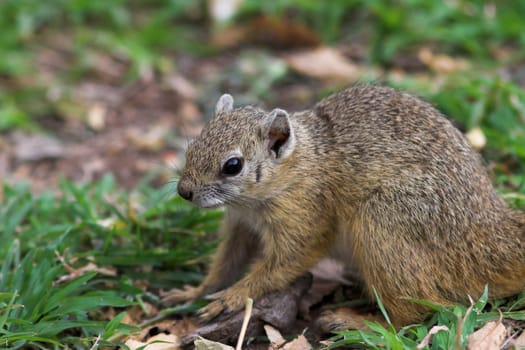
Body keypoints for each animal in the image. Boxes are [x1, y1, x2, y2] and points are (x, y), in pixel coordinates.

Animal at [168, 85, 524, 330]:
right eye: (193, 144)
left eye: (233, 165)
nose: (184, 191)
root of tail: (487, 234)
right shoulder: (241, 226)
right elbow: (226, 263)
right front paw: (195, 292)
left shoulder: (306, 216)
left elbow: (283, 264)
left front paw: (233, 296)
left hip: (384, 223)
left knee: (414, 314)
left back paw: (357, 322)